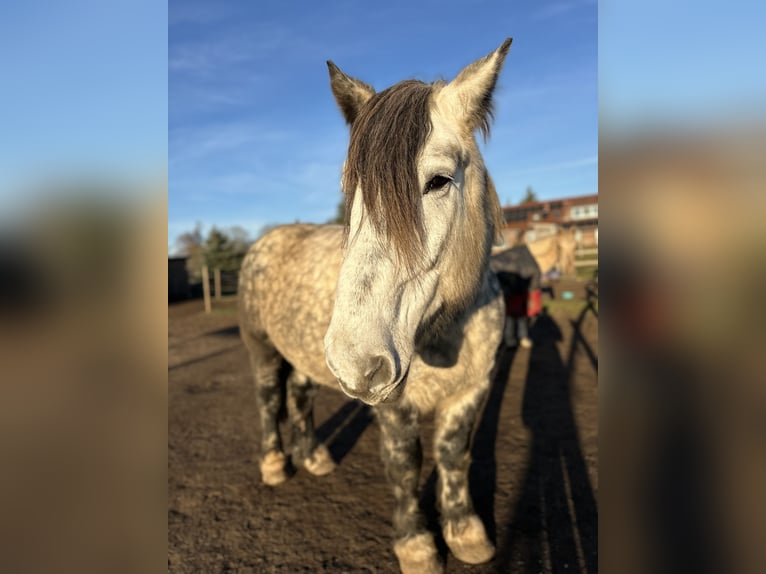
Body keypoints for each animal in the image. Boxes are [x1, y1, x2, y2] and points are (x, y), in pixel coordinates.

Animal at [238, 38, 512, 574]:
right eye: (355, 190)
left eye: (439, 181)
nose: (356, 359)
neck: (444, 334)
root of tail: (267, 241)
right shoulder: (392, 402)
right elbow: (405, 464)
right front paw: (417, 545)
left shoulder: (472, 390)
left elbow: (453, 455)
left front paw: (466, 533)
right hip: (262, 350)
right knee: (269, 399)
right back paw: (276, 464)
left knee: (299, 397)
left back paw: (315, 457)